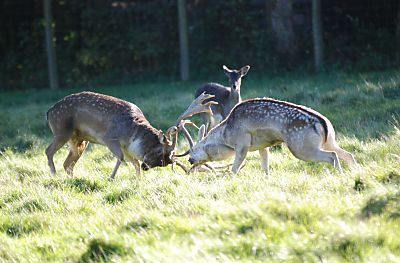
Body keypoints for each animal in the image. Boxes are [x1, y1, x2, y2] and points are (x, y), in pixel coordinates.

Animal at [45, 91, 216, 179]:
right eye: (159, 152)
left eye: (165, 162)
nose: (146, 166)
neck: (131, 136)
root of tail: (49, 112)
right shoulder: (109, 138)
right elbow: (121, 158)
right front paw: (111, 177)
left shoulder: (126, 148)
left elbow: (133, 162)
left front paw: (138, 180)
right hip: (61, 130)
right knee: (48, 151)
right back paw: (53, 175)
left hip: (79, 140)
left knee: (67, 163)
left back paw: (70, 179)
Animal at [180, 97, 358, 175]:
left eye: (194, 149)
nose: (190, 160)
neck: (226, 136)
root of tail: (323, 124)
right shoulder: (262, 146)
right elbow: (265, 167)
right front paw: (267, 178)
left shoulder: (242, 143)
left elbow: (234, 168)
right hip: (330, 140)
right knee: (347, 154)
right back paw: (355, 173)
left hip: (301, 147)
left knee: (332, 156)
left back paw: (341, 175)